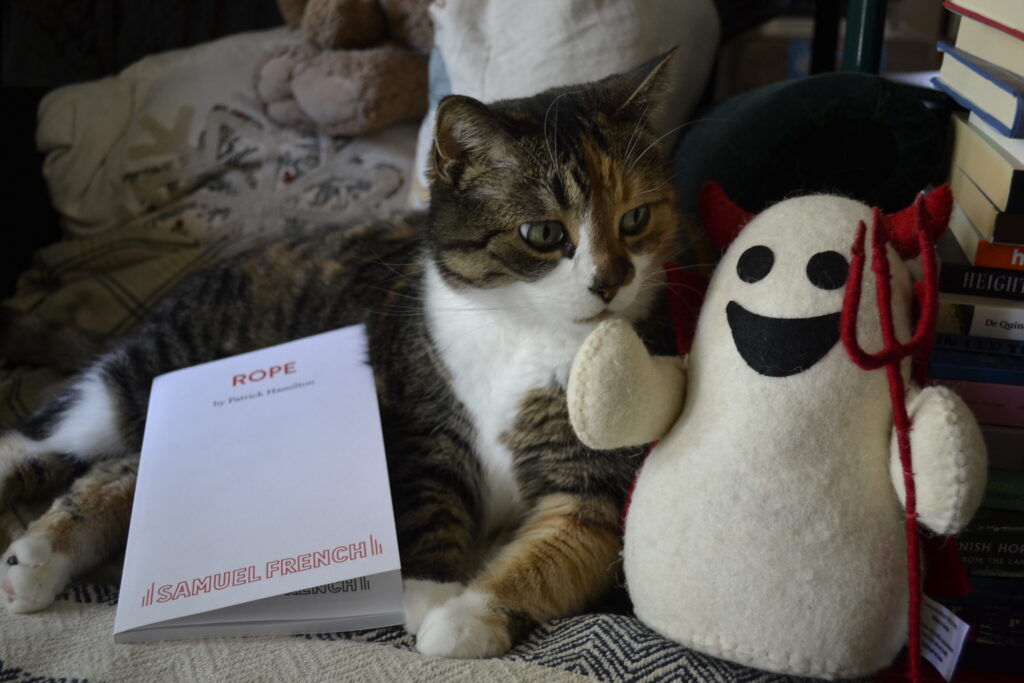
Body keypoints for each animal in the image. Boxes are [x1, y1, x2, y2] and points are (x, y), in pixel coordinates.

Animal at [2, 53, 688, 655]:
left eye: (635, 219)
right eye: (543, 233)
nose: (610, 282)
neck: (525, 331)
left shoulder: (594, 479)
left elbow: (556, 550)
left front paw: (465, 619)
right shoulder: (419, 426)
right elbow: (426, 499)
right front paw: (425, 594)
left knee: (120, 469)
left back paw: (35, 561)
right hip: (139, 380)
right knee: (52, 438)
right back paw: (35, 547)